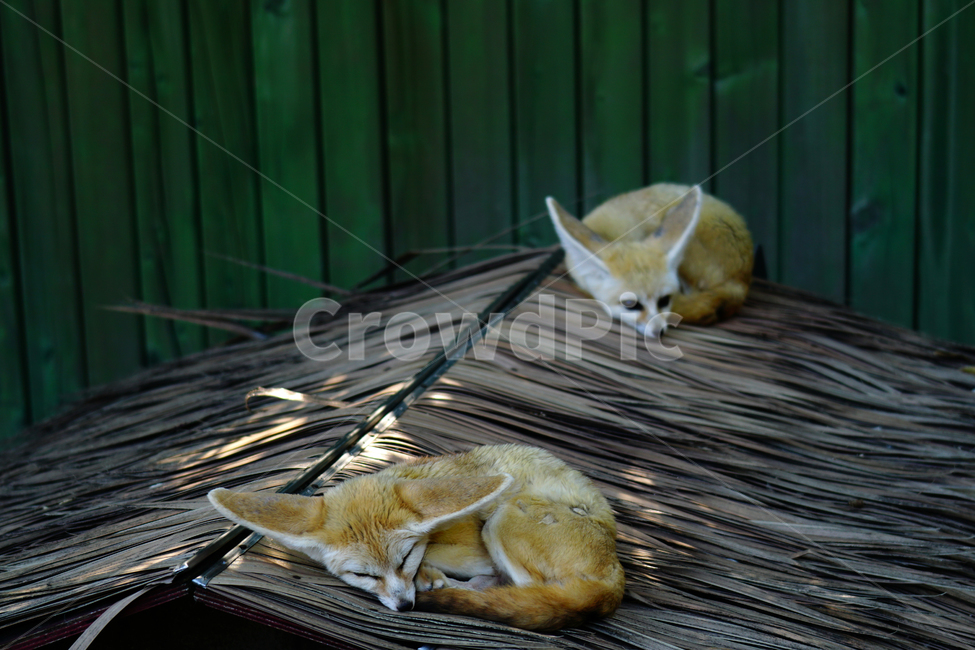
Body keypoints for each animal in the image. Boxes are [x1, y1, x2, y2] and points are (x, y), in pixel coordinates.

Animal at [208, 444, 625, 632]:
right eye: (364, 575)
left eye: (404, 559)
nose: (406, 606)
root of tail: (616, 573)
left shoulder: (472, 543)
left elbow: (437, 552)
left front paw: (426, 574)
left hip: (501, 518)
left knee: (527, 591)